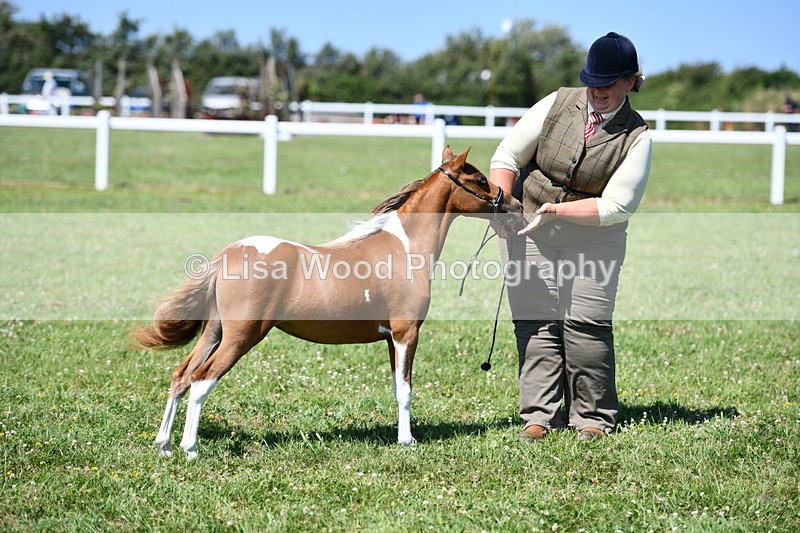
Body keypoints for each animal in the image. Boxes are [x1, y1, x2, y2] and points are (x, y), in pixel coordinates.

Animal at [135, 146, 523, 459]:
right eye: (481, 179)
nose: (516, 206)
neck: (404, 248)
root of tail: (228, 253)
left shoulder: (389, 339)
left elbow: (396, 387)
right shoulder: (406, 333)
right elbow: (406, 391)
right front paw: (407, 441)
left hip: (215, 333)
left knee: (181, 375)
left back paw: (164, 445)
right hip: (241, 336)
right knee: (201, 380)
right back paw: (189, 448)